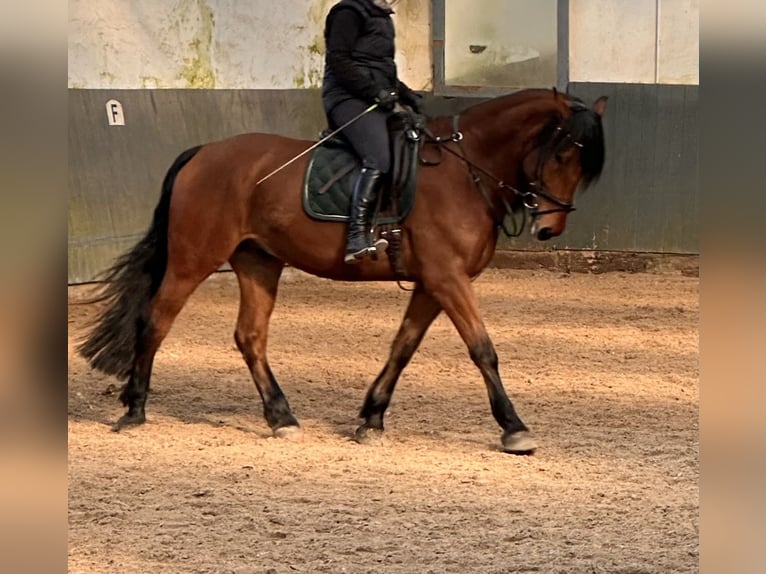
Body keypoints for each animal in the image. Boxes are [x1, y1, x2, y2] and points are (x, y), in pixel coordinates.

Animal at [76, 86, 608, 454]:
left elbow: (402, 348)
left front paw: (371, 418)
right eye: (562, 153)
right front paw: (514, 428)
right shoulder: (447, 279)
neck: (466, 170)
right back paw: (135, 409)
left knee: (250, 336)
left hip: (258, 261)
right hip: (193, 260)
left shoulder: (432, 284)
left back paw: (281, 418)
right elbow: (483, 350)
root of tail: (203, 152)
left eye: (584, 167)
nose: (549, 229)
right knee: (156, 320)